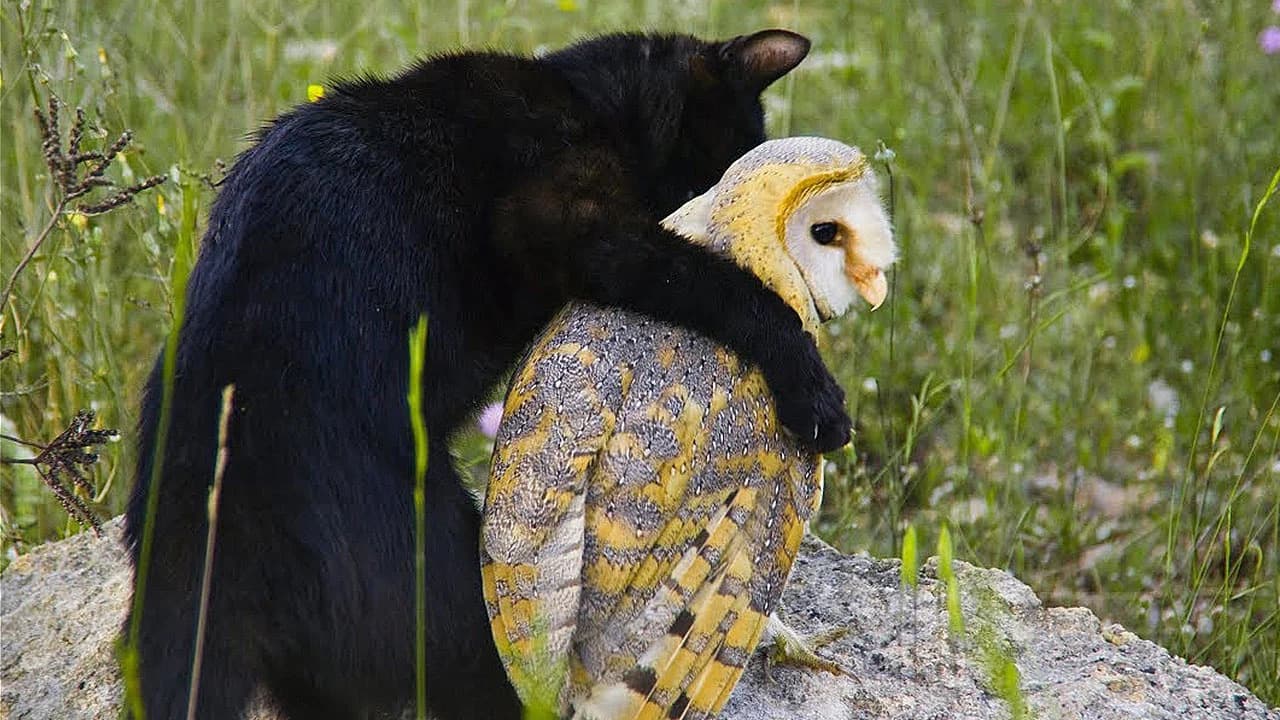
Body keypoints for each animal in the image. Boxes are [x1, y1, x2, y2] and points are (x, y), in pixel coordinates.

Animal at [122, 30, 849, 717]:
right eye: (721, 173)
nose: (721, 217)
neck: (591, 100)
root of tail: (205, 530)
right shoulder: (569, 219)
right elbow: (722, 285)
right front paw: (814, 390)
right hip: (461, 595)